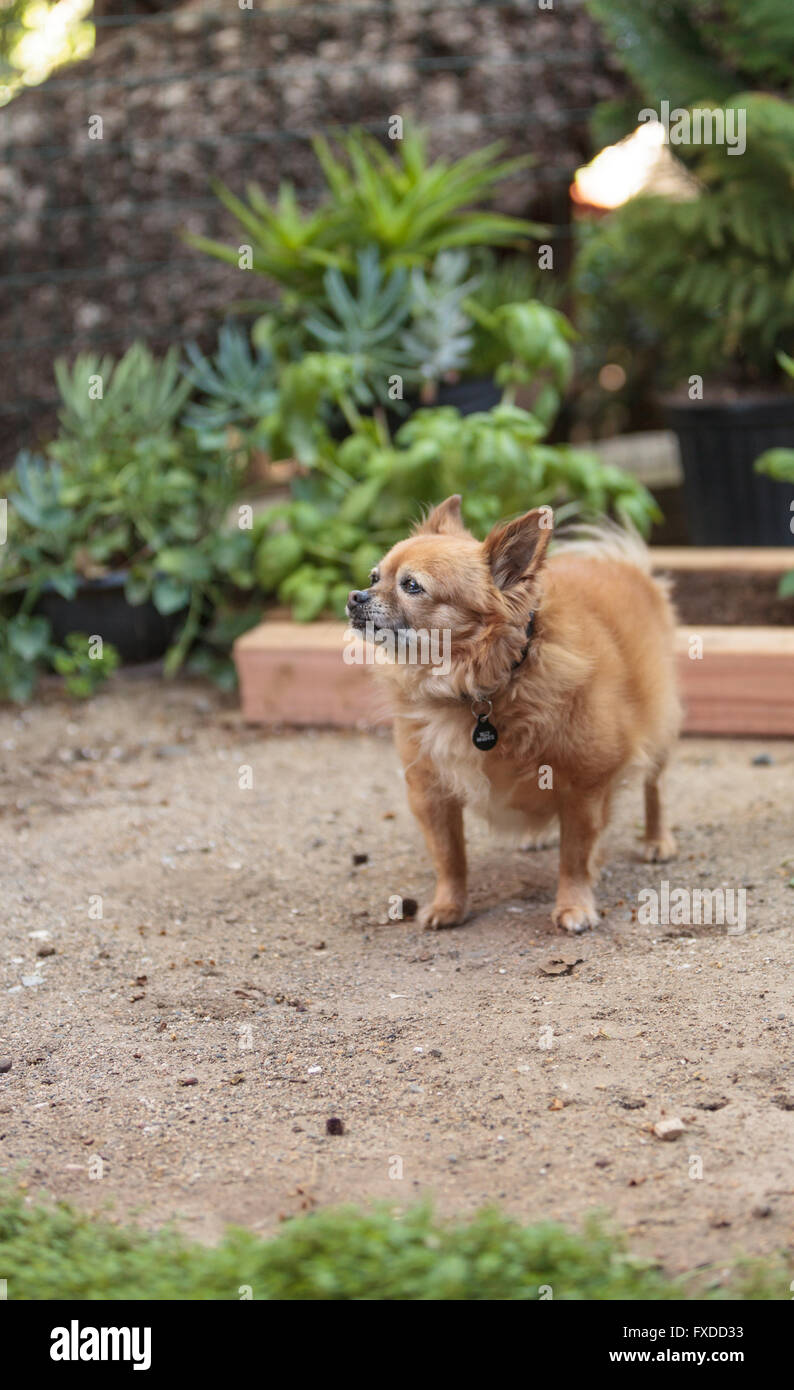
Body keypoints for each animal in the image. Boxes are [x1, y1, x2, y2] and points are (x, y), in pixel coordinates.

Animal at [347, 492, 684, 934]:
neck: (475, 691)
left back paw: (657, 839)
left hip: (659, 727)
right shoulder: (430, 790)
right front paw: (449, 905)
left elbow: (575, 856)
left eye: (412, 586)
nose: (354, 596)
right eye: (374, 577)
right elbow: (448, 855)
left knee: (654, 787)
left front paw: (574, 905)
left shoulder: (585, 784)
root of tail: (623, 564)